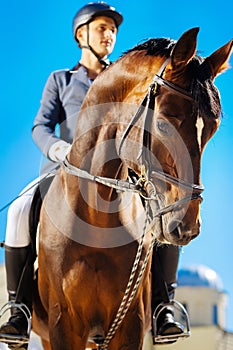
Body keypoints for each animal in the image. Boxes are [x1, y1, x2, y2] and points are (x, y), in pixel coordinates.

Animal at [31, 28, 233, 350]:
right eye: (163, 126)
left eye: (211, 131)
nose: (188, 224)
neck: (95, 221)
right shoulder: (63, 324)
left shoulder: (130, 324)